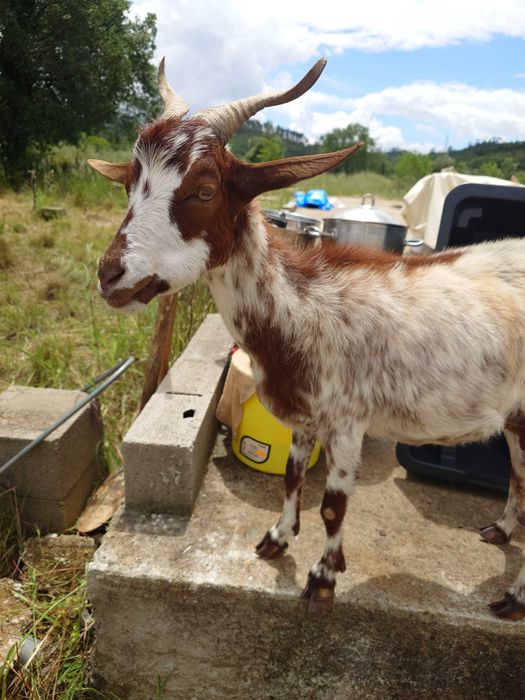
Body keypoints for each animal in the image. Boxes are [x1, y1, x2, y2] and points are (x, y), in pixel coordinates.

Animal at [89, 58, 525, 619]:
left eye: (204, 190)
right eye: (129, 184)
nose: (110, 276)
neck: (304, 307)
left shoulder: (347, 422)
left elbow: (334, 507)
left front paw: (322, 579)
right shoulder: (304, 417)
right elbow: (293, 478)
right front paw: (276, 539)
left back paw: (513, 599)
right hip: (516, 417)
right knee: (519, 478)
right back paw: (501, 531)